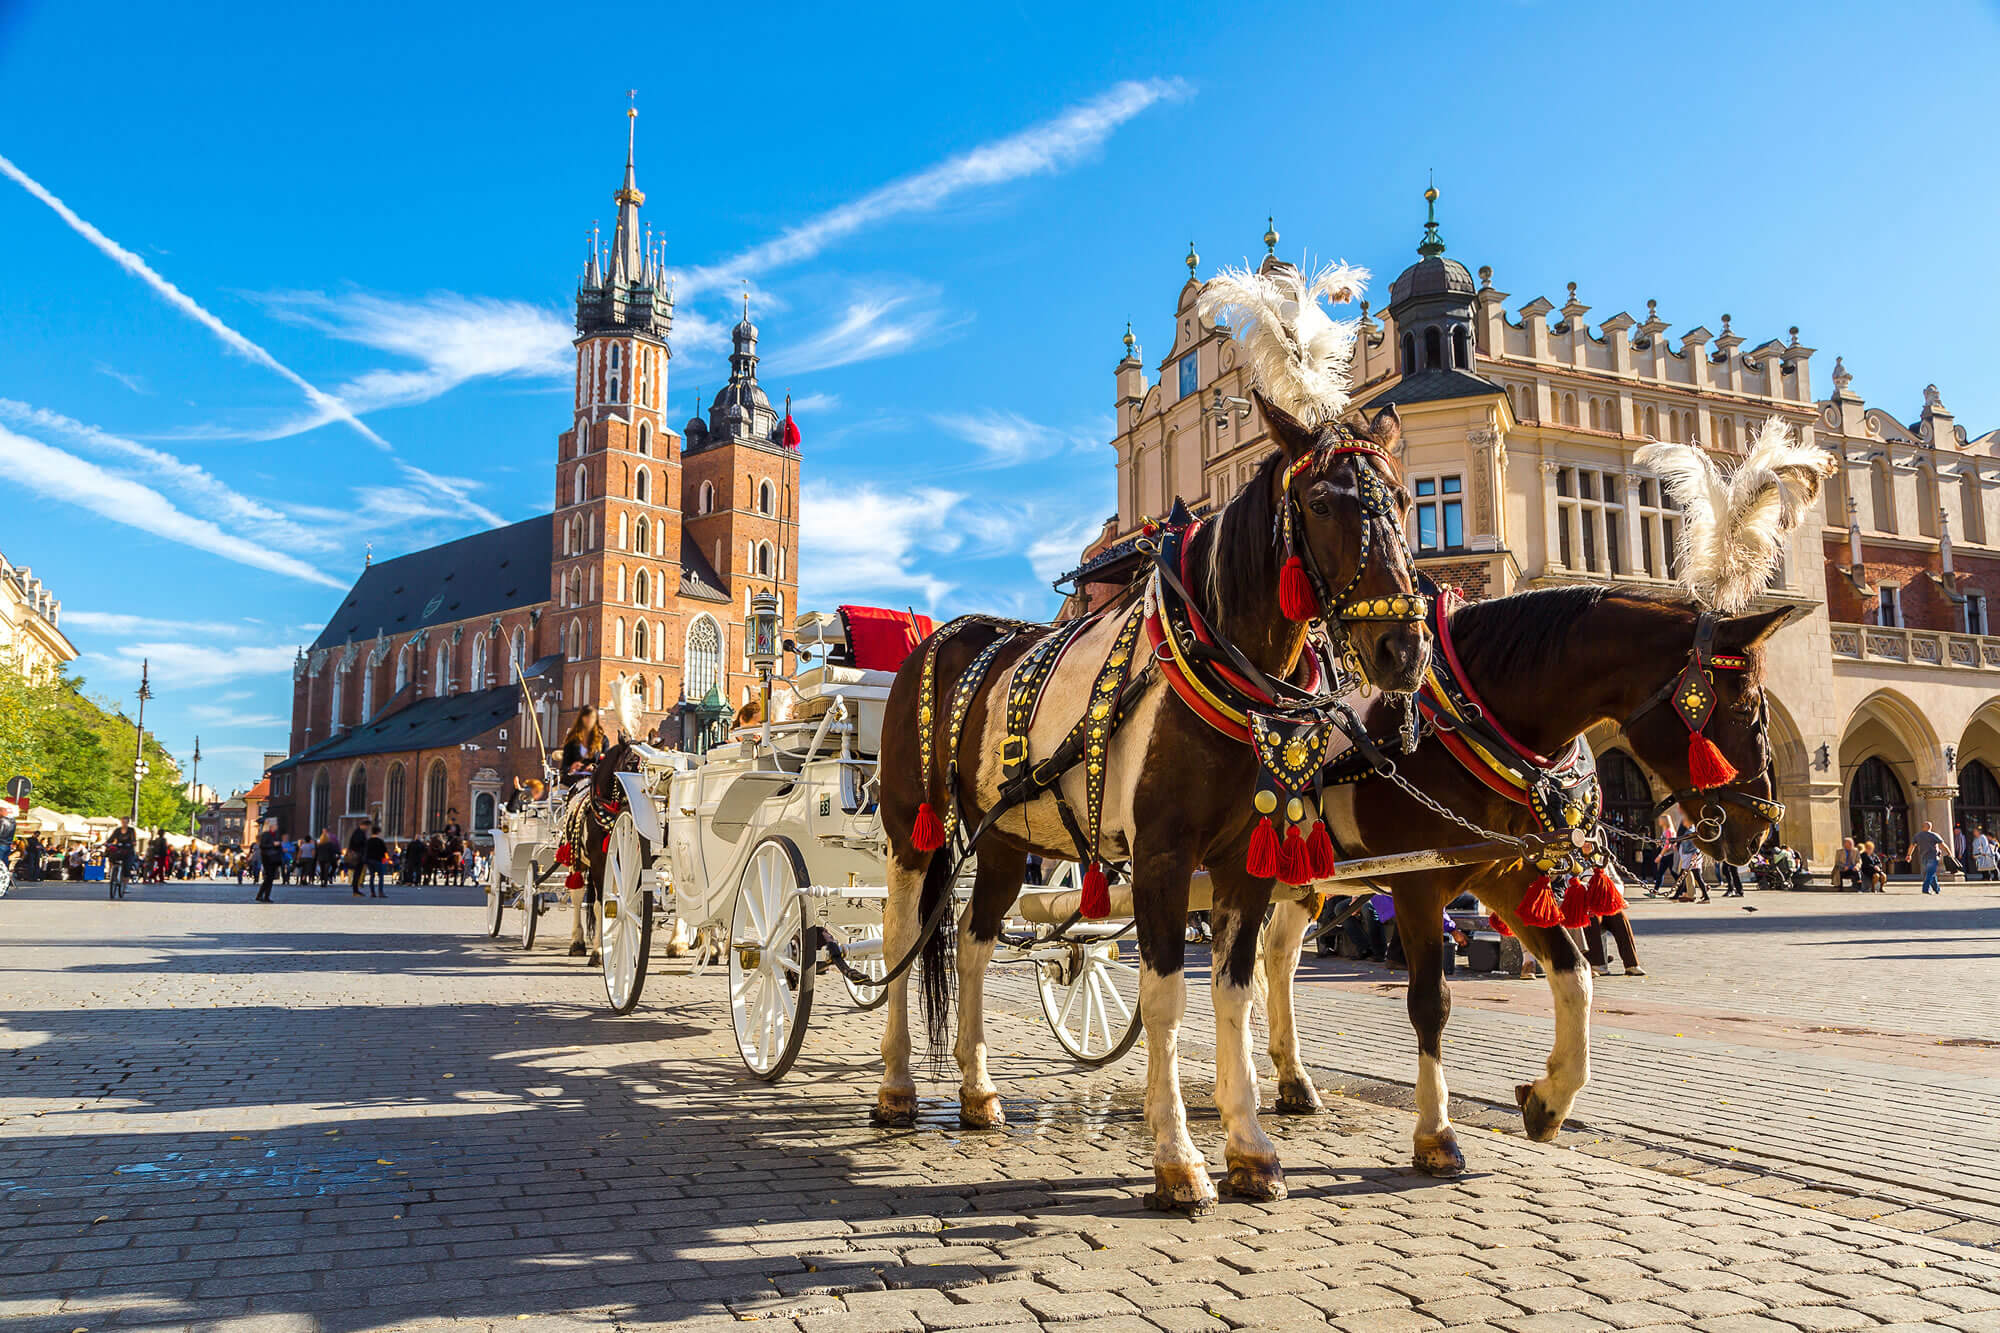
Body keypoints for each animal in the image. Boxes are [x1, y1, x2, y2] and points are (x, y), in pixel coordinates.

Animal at [884, 392, 1432, 1200]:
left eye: (1403, 500)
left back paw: (979, 1092)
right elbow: (1166, 996)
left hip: (1007, 840)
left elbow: (1233, 991)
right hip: (909, 828)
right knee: (900, 938)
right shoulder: (1164, 858)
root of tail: (939, 636)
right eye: (1321, 502)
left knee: (973, 944)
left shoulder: (1245, 861)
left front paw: (1251, 1148)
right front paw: (1177, 1158)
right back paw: (895, 1086)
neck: (1215, 666)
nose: (1404, 648)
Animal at [1280, 580, 1800, 1176]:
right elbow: (1430, 1003)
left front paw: (1549, 1100)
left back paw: (1292, 1082)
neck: (1460, 724)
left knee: (1275, 962)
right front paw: (1436, 1134)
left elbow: (1576, 975)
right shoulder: (1418, 884)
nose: (1761, 828)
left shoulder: (1502, 872)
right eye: (1744, 708)